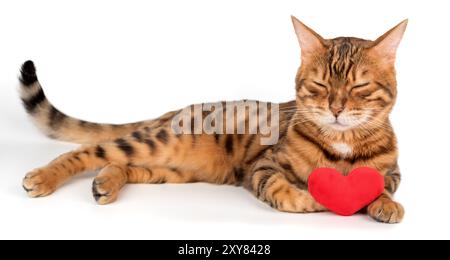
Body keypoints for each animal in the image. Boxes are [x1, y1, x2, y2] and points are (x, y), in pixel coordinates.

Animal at [18, 16, 408, 223]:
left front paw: (384, 205)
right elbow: (282, 191)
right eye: (320, 85)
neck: (343, 145)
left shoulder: (393, 173)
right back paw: (43, 177)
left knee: (122, 165)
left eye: (359, 87)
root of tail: (172, 112)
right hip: (160, 142)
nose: (336, 108)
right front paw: (310, 199)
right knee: (89, 152)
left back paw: (106, 184)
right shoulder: (263, 166)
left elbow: (382, 185)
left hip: (171, 169)